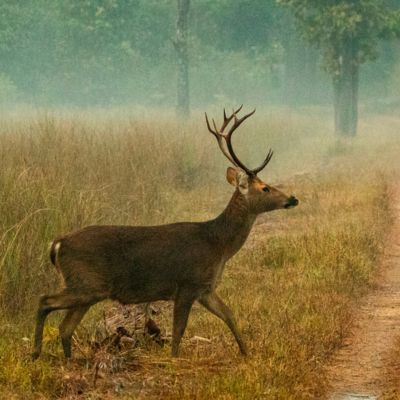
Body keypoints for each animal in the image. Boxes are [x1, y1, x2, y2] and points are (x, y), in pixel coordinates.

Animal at [32, 106, 298, 360]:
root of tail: (57, 244)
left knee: (65, 327)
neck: (218, 245)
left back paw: (69, 360)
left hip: (88, 289)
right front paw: (174, 359)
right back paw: (35, 353)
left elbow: (229, 314)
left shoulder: (206, 288)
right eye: (265, 188)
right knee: (45, 301)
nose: (293, 199)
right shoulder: (188, 283)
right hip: (86, 282)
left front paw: (246, 352)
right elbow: (179, 329)